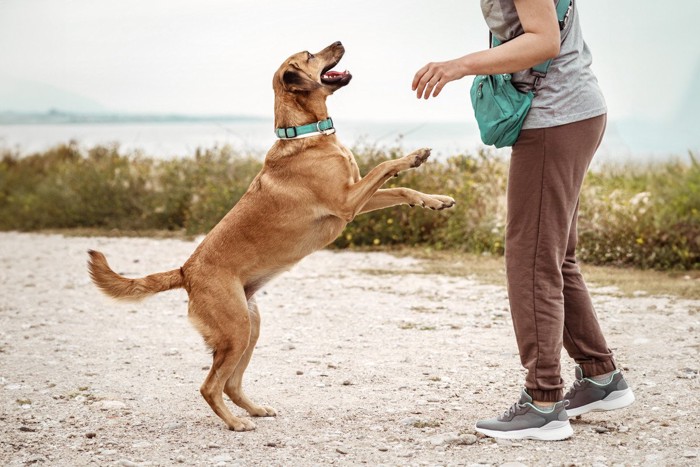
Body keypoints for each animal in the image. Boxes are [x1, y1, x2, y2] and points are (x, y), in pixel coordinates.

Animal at [87, 41, 456, 432]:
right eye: (309, 55)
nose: (340, 41)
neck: (307, 133)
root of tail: (186, 271)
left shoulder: (357, 198)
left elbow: (400, 189)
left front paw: (435, 200)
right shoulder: (346, 202)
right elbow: (386, 167)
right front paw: (413, 157)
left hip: (250, 326)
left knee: (231, 383)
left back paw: (254, 410)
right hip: (235, 330)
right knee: (210, 386)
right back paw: (235, 423)